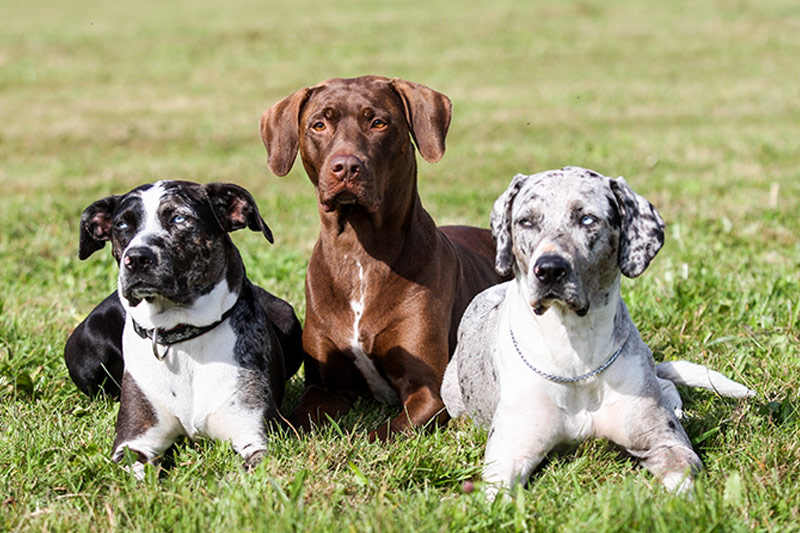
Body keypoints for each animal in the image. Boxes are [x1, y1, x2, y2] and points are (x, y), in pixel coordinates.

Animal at [70, 180, 304, 474]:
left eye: (179, 218)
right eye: (121, 225)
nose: (136, 258)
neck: (182, 334)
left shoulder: (254, 434)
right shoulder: (135, 441)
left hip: (287, 316)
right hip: (86, 352)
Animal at [260, 76, 506, 440]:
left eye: (378, 123)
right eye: (318, 125)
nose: (346, 167)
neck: (359, 252)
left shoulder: (428, 391)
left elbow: (383, 434)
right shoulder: (323, 387)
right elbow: (298, 422)